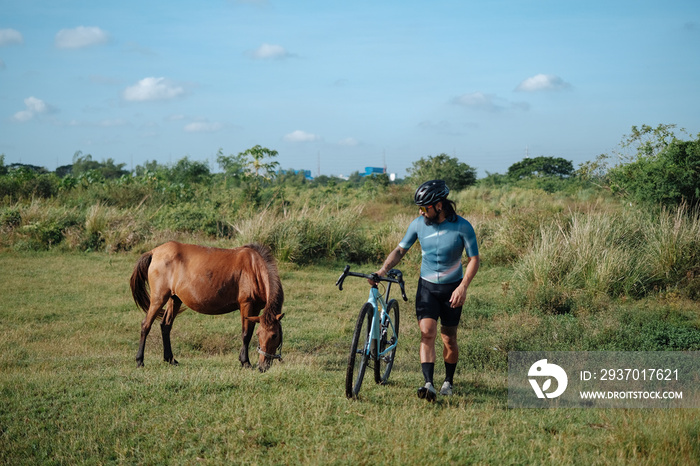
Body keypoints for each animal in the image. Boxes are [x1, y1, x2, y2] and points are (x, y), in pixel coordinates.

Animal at [130, 242, 284, 374]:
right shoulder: (246, 305)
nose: (262, 366)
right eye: (260, 335)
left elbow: (248, 332)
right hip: (158, 298)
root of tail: (154, 252)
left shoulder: (255, 309)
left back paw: (170, 359)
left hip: (174, 299)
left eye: (274, 335)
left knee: (165, 326)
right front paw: (245, 362)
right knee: (146, 325)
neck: (254, 268)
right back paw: (140, 361)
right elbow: (246, 334)